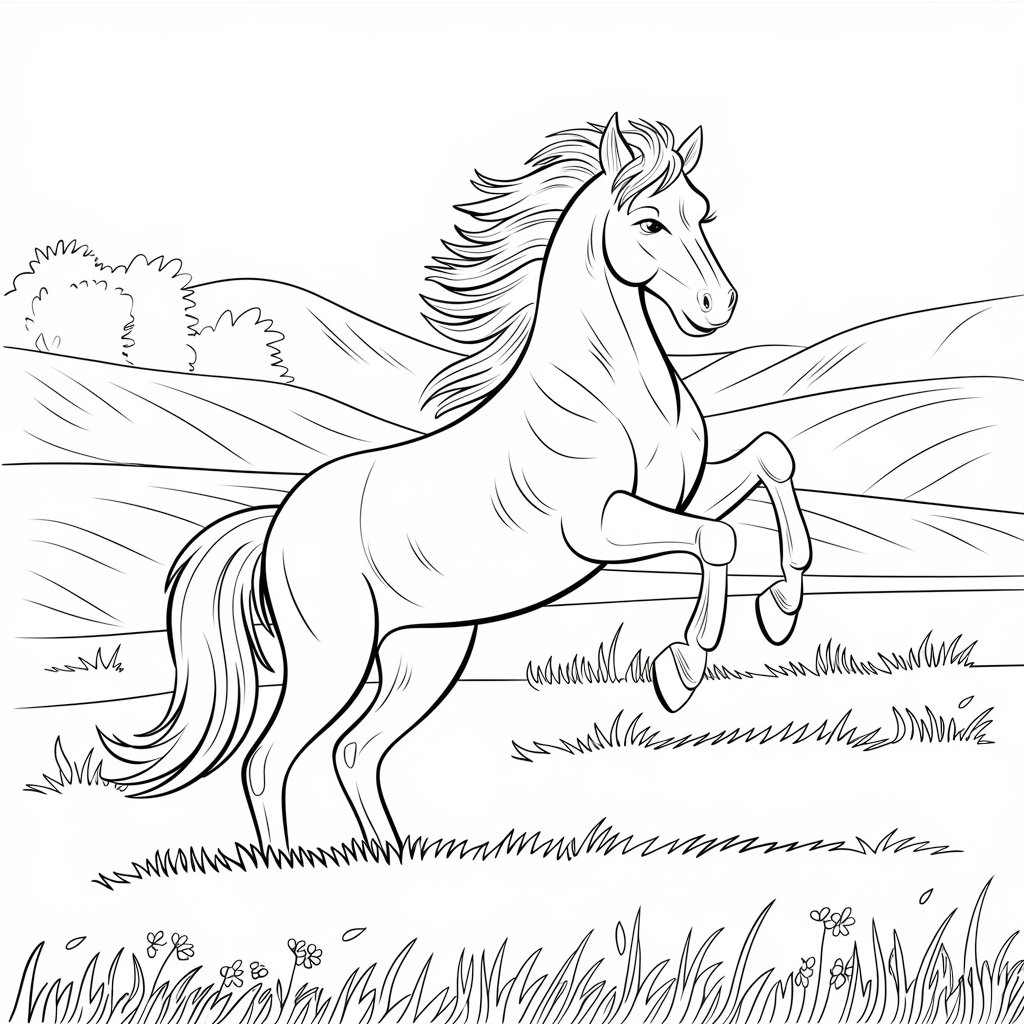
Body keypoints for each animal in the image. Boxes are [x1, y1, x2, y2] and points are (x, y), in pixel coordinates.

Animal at [101, 115, 812, 852]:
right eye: (649, 222)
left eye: (702, 212)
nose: (717, 305)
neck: (610, 391)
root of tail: (274, 528)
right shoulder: (599, 526)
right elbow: (719, 540)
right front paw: (683, 669)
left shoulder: (680, 496)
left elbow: (772, 459)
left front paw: (782, 607)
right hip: (333, 657)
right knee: (269, 764)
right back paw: (289, 863)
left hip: (424, 652)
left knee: (355, 753)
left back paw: (392, 855)